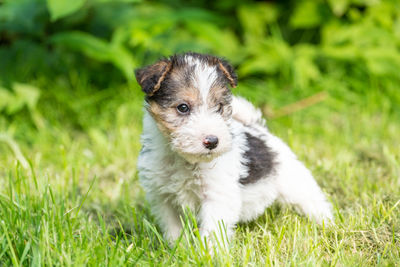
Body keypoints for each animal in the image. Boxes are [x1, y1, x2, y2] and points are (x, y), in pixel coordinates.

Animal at [134, 52, 332, 247]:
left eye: (219, 107)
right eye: (183, 107)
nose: (213, 141)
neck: (185, 160)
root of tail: (259, 128)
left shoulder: (217, 196)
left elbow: (212, 233)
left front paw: (209, 253)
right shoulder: (163, 198)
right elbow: (174, 229)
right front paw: (177, 249)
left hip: (294, 183)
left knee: (313, 201)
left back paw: (328, 224)